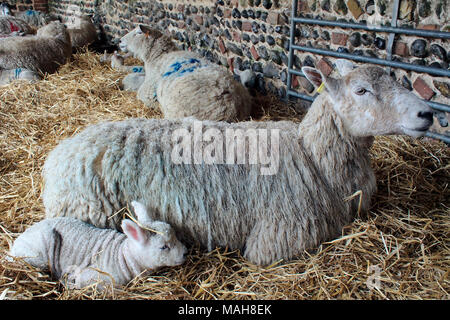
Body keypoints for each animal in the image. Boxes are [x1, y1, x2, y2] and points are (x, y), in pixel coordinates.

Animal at [9, 201, 188, 288]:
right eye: (164, 247)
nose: (185, 253)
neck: (122, 256)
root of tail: (13, 248)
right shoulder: (95, 277)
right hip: (38, 254)